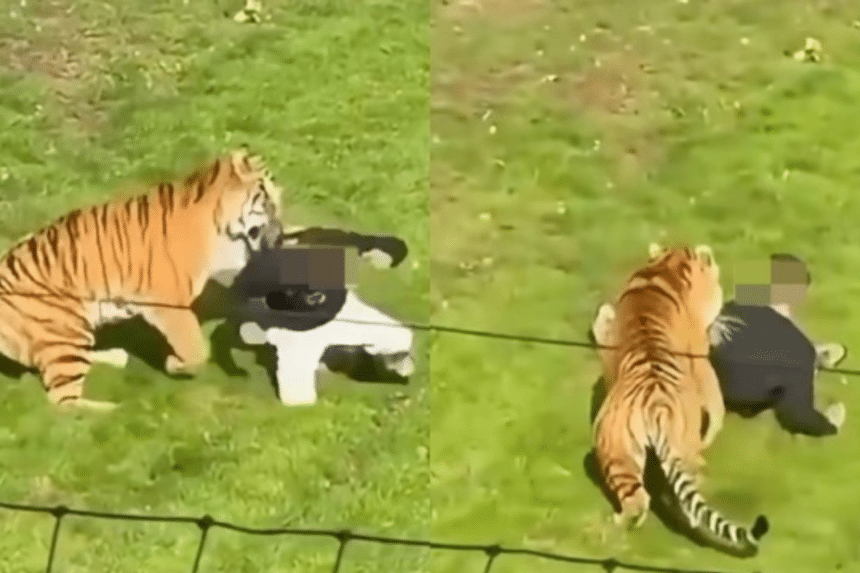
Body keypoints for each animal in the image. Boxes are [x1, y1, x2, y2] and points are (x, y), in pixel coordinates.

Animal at [0, 149, 284, 411]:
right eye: (269, 201)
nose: (280, 234)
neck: (223, 230)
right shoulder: (169, 304)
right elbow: (195, 349)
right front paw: (174, 365)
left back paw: (115, 357)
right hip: (68, 327)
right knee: (64, 402)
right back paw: (115, 409)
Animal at [591, 243, 769, 556]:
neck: (665, 268)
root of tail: (654, 407)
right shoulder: (701, 355)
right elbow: (714, 397)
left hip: (615, 447)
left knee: (639, 501)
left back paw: (616, 526)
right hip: (676, 448)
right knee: (689, 496)